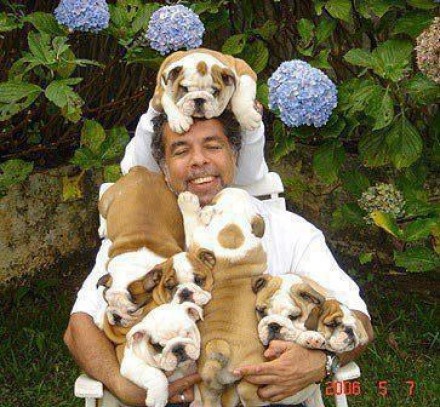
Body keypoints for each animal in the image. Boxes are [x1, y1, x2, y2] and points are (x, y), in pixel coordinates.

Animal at [179, 189, 268, 407]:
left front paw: (188, 203)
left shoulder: (195, 243)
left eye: (213, 199)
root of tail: (221, 346)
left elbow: (191, 225)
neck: (232, 230)